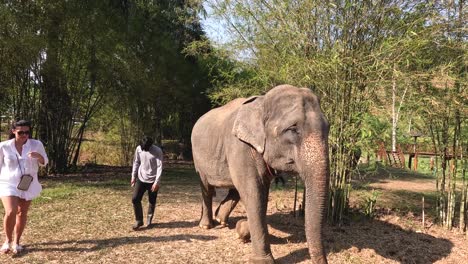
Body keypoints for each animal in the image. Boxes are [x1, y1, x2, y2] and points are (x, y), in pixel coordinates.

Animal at [190, 84, 330, 264]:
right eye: (293, 128)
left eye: (328, 127)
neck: (262, 101)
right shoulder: (240, 146)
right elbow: (254, 193)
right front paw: (262, 260)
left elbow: (260, 193)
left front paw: (243, 229)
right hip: (198, 158)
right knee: (206, 187)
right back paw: (207, 225)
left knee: (234, 189)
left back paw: (221, 220)